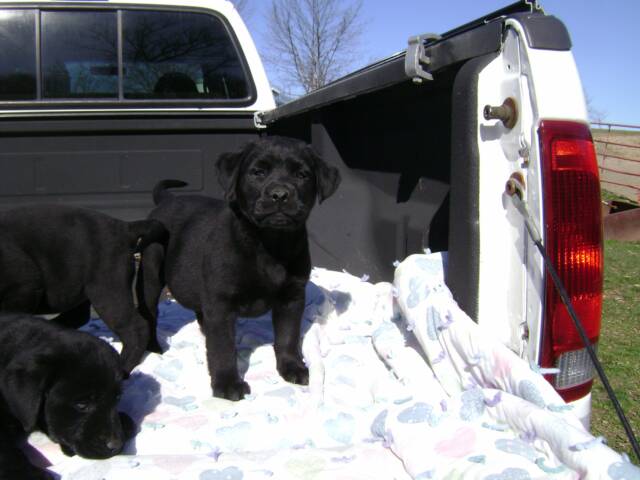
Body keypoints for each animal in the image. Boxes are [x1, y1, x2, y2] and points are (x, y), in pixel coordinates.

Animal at [0, 204, 168, 374]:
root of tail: (124, 227)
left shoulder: (24, 286)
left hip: (106, 288)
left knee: (135, 328)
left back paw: (123, 366)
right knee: (78, 315)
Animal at [0, 314, 135, 478]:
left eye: (117, 398)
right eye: (82, 404)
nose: (117, 445)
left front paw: (124, 420)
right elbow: (5, 452)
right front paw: (27, 474)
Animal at [138, 136, 342, 402]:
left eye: (302, 175)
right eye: (258, 172)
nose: (279, 194)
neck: (268, 242)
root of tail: (166, 200)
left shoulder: (291, 298)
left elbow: (288, 336)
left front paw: (292, 367)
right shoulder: (221, 303)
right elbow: (223, 347)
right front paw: (227, 384)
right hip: (151, 275)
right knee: (150, 313)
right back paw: (153, 346)